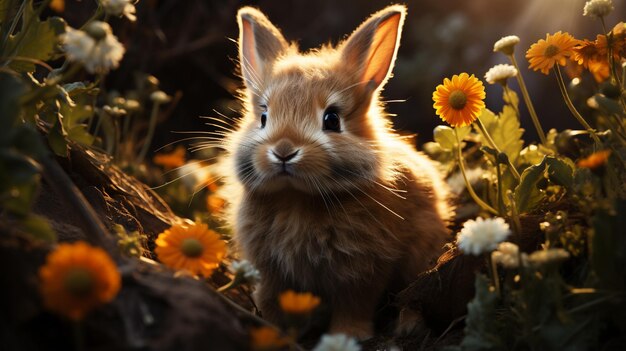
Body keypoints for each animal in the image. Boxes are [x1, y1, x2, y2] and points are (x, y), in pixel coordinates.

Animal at [219, 4, 454, 340]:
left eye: (332, 119)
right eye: (263, 117)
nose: (284, 150)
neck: (298, 198)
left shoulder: (360, 271)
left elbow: (354, 304)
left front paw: (348, 336)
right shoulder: (270, 271)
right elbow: (271, 299)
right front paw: (273, 331)